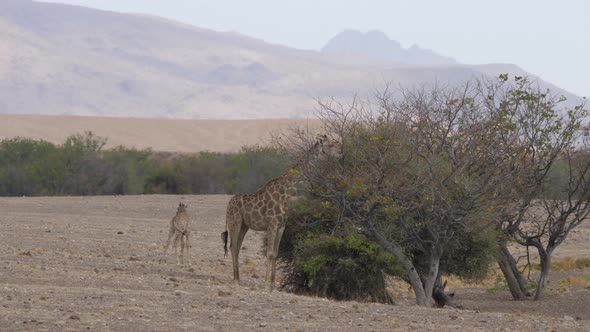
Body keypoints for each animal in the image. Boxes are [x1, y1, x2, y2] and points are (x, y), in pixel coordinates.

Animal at [221, 134, 338, 290]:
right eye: (331, 144)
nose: (340, 153)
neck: (286, 193)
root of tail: (228, 205)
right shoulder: (272, 224)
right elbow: (269, 253)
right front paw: (266, 284)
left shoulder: (282, 225)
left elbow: (276, 253)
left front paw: (273, 285)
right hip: (235, 222)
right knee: (233, 247)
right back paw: (235, 280)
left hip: (244, 226)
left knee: (237, 247)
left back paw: (238, 278)